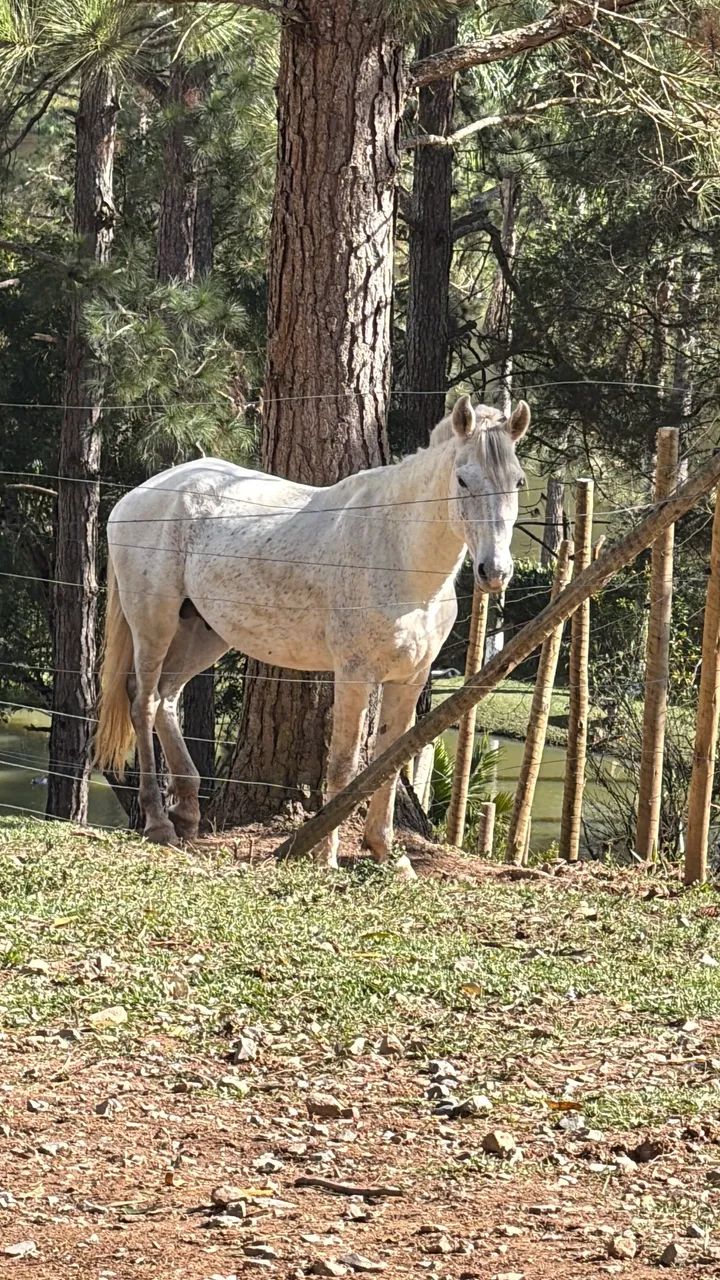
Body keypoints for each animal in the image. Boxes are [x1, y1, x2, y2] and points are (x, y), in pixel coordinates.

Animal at [94, 394, 530, 867]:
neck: (398, 553)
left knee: (166, 701)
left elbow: (390, 761)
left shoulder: (410, 679)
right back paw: (158, 823)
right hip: (153, 623)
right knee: (142, 702)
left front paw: (385, 853)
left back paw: (187, 815)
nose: (495, 572)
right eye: (463, 479)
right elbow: (343, 765)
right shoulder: (354, 675)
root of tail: (137, 497)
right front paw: (326, 856)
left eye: (518, 481)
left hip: (203, 634)